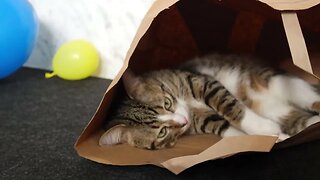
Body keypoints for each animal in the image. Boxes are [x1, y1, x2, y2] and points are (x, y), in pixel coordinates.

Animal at [99, 54, 318, 150]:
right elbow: (220, 125)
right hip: (278, 108)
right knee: (298, 118)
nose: (183, 120)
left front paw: (265, 129)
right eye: (162, 132)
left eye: (167, 103)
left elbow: (229, 105)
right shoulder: (200, 121)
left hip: (277, 81)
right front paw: (271, 137)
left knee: (310, 97)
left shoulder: (200, 81)